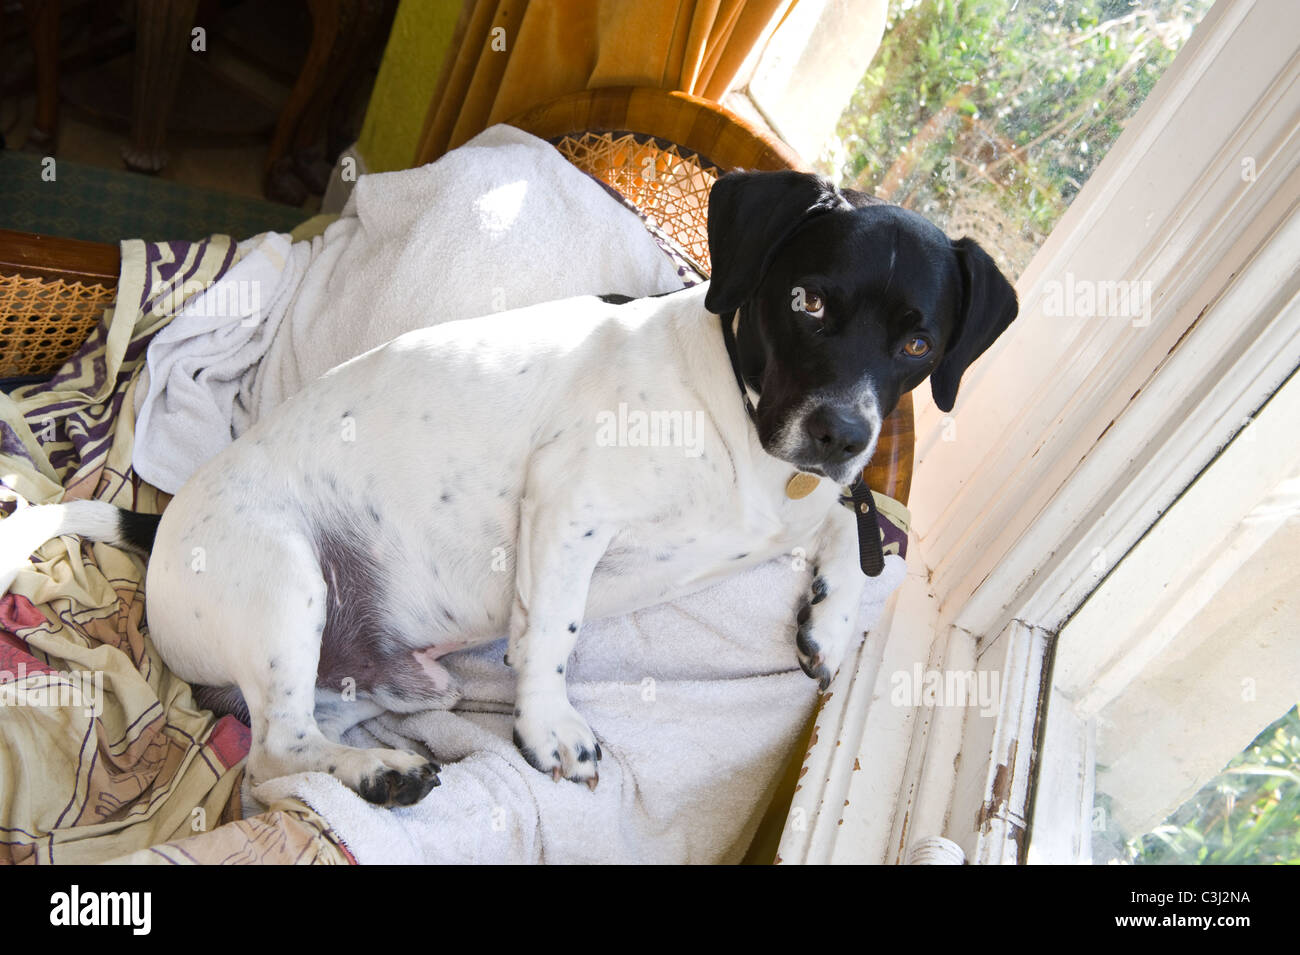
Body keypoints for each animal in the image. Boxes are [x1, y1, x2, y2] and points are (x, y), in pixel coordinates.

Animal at [0, 171, 1013, 805]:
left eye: (918, 342)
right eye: (807, 301)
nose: (841, 434)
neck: (735, 404)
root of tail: (163, 524)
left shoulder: (798, 502)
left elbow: (847, 529)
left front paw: (831, 619)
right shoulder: (570, 507)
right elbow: (553, 635)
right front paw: (551, 725)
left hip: (404, 676)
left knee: (306, 722)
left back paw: (378, 748)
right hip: (287, 577)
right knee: (276, 754)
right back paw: (378, 776)